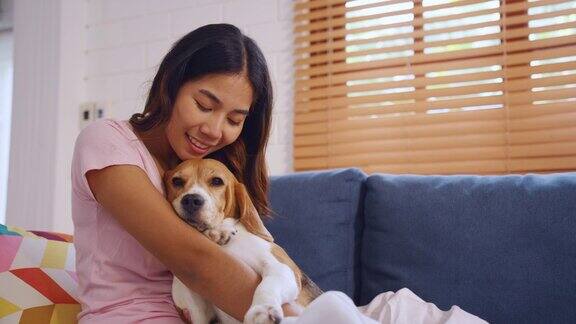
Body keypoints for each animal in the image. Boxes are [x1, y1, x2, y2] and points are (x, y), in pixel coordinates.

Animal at [164, 159, 322, 324]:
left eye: (216, 181)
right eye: (176, 181)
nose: (191, 200)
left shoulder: (282, 267)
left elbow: (266, 286)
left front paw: (262, 310)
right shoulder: (198, 312)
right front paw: (217, 232)